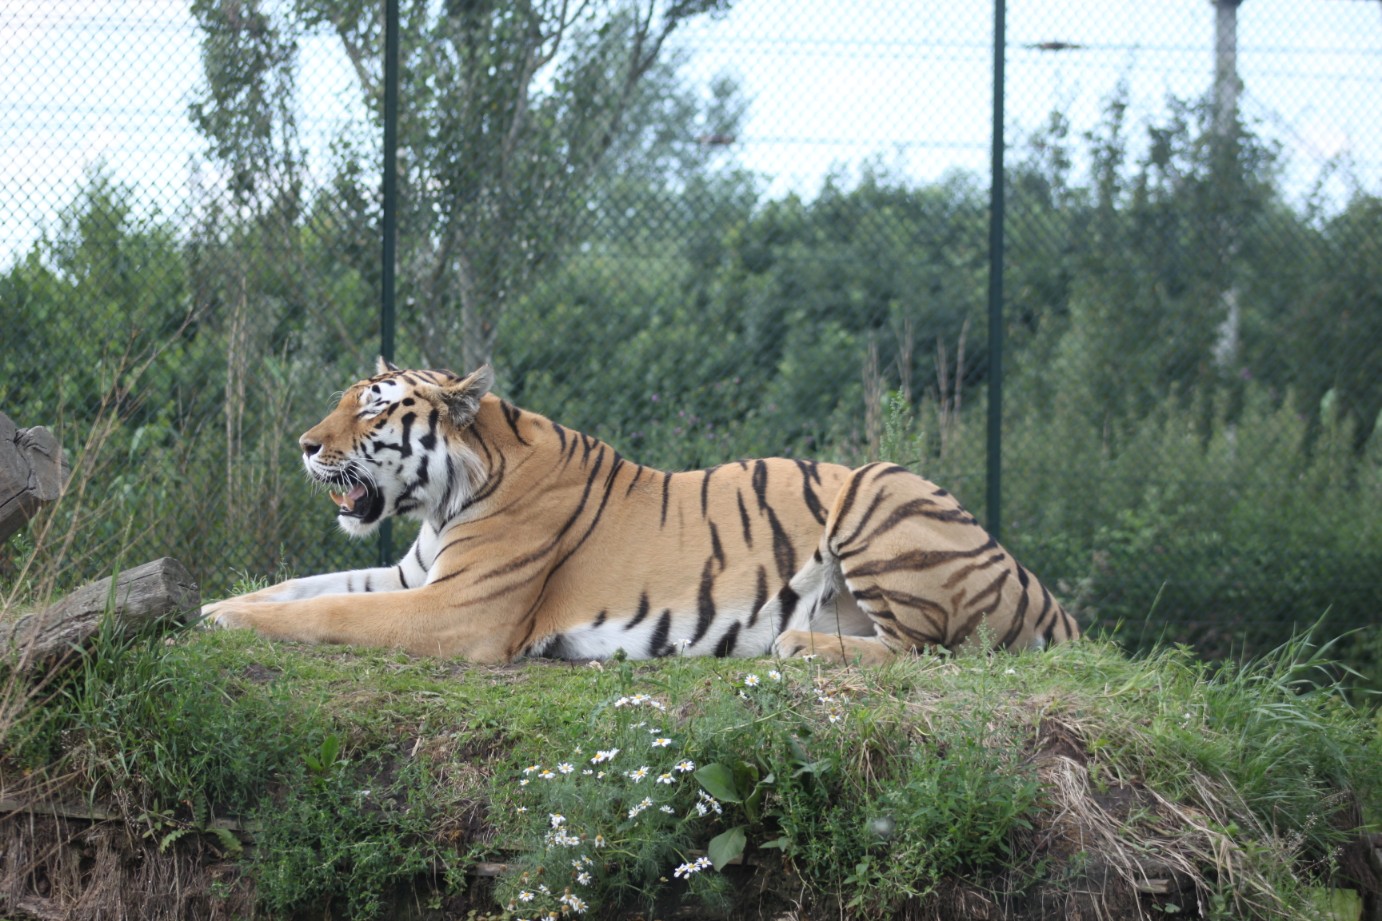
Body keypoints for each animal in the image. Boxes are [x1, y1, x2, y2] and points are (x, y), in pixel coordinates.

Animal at [203, 359, 1079, 663]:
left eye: (374, 408)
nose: (304, 445)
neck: (444, 500)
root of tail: (1041, 590)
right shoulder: (410, 574)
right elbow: (304, 586)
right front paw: (214, 605)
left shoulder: (462, 610)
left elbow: (328, 614)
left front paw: (228, 622)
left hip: (876, 486)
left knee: (927, 649)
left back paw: (797, 645)